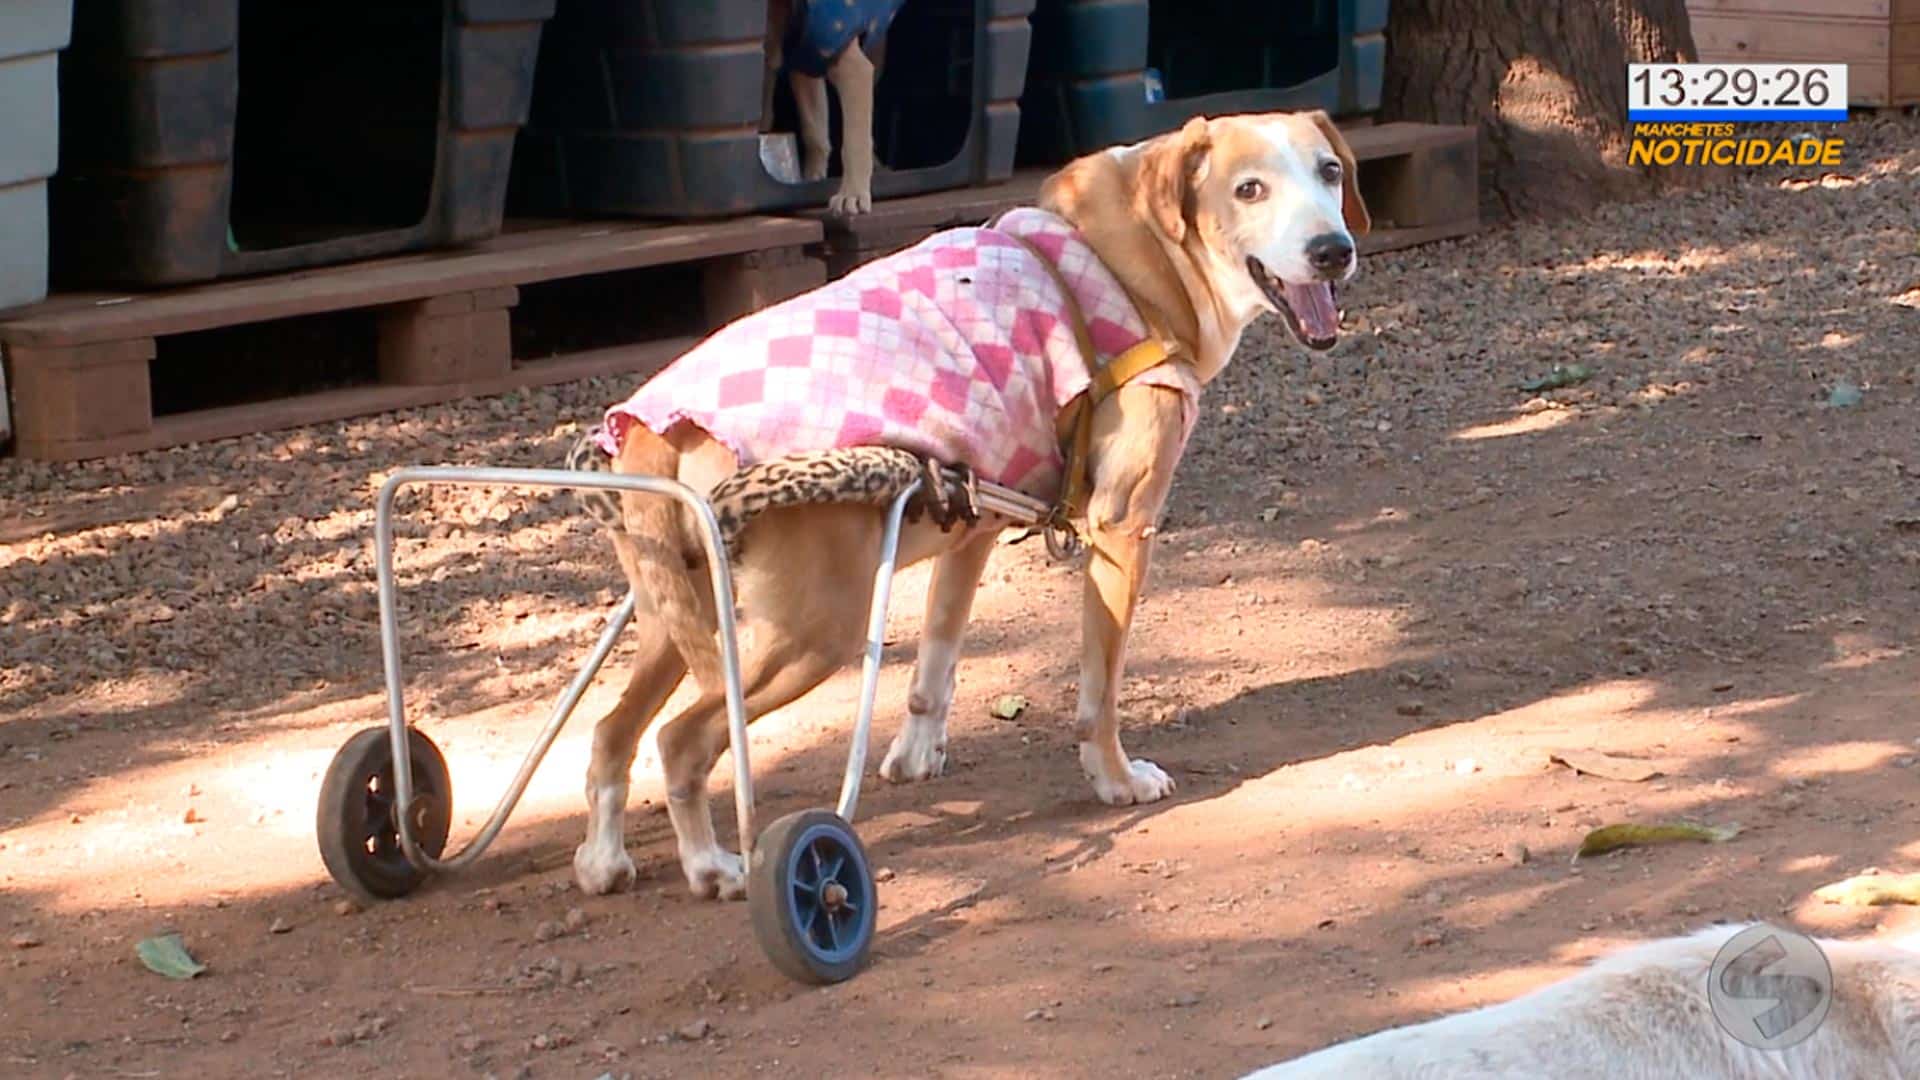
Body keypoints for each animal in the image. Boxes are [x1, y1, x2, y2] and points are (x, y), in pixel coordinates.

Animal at [568, 113, 1367, 895]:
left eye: (1330, 172)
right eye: (1250, 188)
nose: (1333, 250)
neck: (1146, 251)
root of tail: (658, 425)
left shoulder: (973, 528)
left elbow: (937, 658)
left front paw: (917, 756)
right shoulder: (1121, 530)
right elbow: (1099, 693)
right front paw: (1116, 780)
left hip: (679, 613)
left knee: (610, 734)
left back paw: (603, 861)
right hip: (813, 631)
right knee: (679, 740)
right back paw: (711, 865)